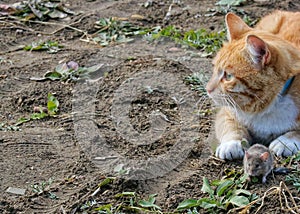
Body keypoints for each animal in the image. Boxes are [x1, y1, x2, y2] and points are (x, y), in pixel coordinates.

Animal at [207, 10, 300, 160]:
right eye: (215, 69)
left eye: (228, 76)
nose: (208, 89)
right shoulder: (227, 111)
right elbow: (231, 126)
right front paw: (232, 143)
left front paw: (286, 141)